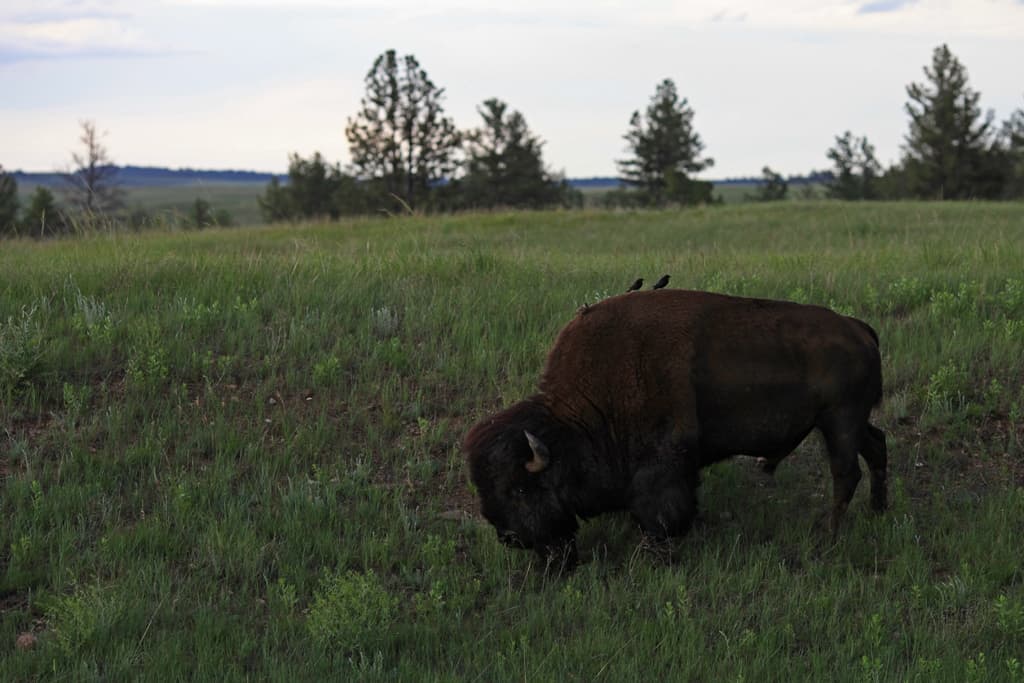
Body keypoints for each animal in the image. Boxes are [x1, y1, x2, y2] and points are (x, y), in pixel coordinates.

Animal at [464, 289, 887, 568]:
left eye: (519, 489)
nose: (509, 537)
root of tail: (858, 329)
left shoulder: (664, 465)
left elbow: (662, 513)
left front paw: (650, 555)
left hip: (839, 421)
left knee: (846, 473)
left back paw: (828, 535)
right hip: (852, 422)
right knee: (877, 447)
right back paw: (878, 511)